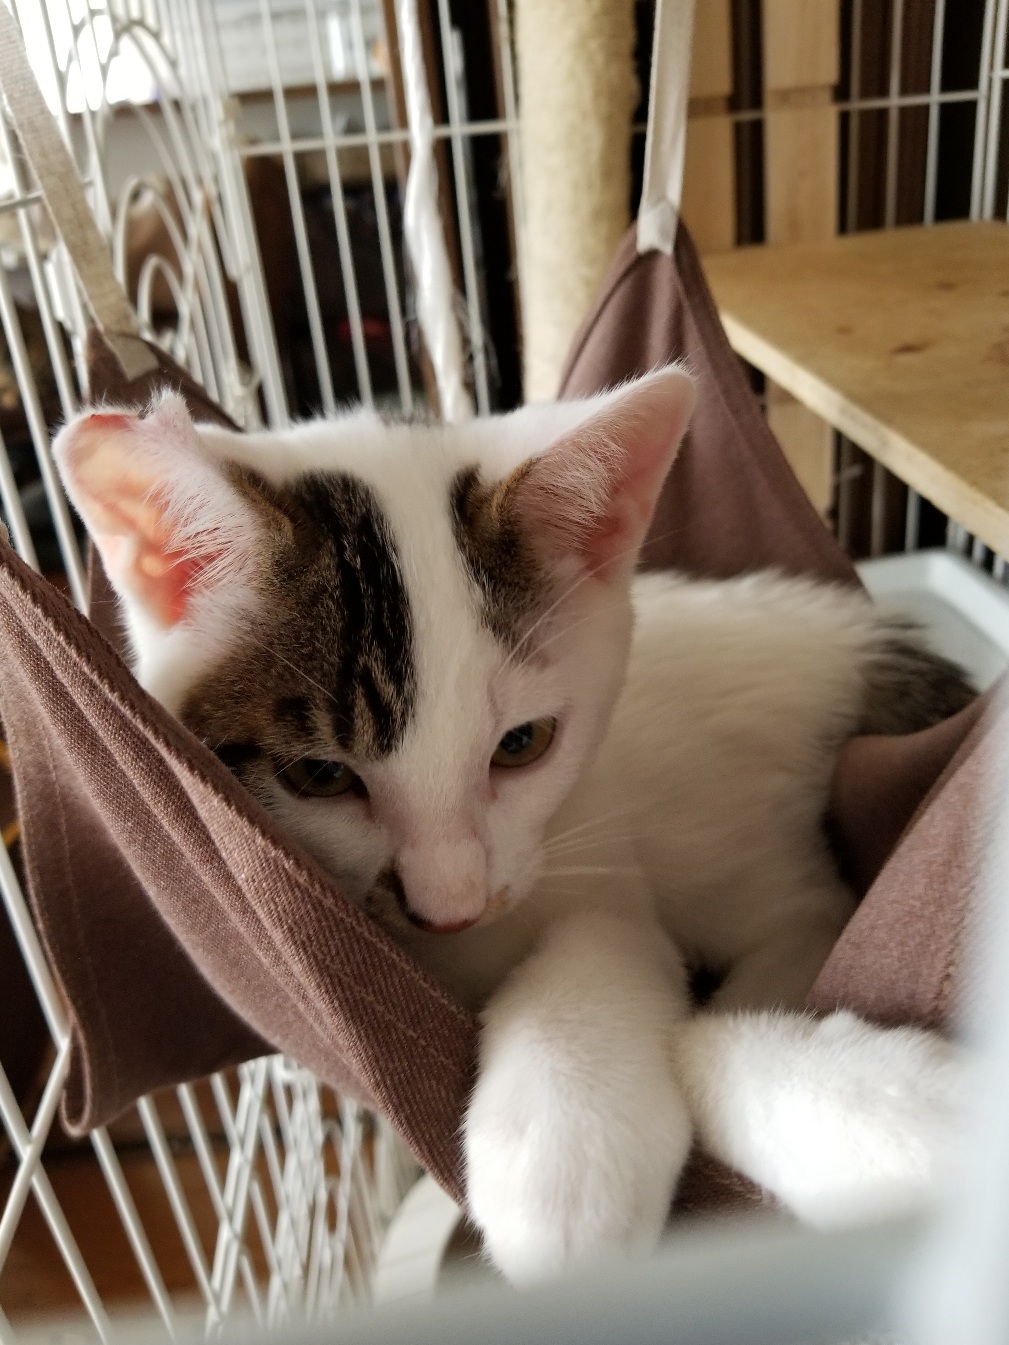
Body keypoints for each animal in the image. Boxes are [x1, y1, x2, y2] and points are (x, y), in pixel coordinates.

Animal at [53, 368, 973, 1285]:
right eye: (319, 774)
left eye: (522, 744)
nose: (450, 906)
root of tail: (853, 641)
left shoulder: (595, 848)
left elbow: (635, 957)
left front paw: (566, 1143)